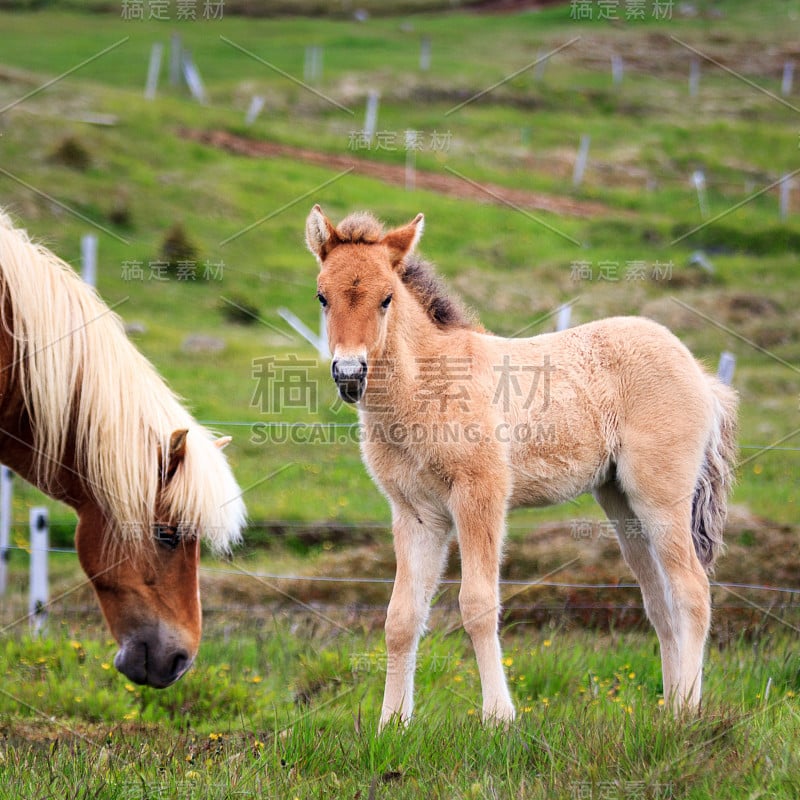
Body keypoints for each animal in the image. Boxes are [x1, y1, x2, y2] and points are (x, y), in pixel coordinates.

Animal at [306, 208, 736, 732]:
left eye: (386, 298)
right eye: (322, 296)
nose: (349, 375)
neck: (429, 386)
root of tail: (700, 374)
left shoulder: (480, 494)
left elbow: (477, 605)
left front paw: (498, 717)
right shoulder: (416, 513)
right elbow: (401, 618)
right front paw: (392, 725)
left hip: (661, 496)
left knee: (692, 590)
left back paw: (687, 713)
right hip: (622, 503)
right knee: (660, 603)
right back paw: (668, 709)